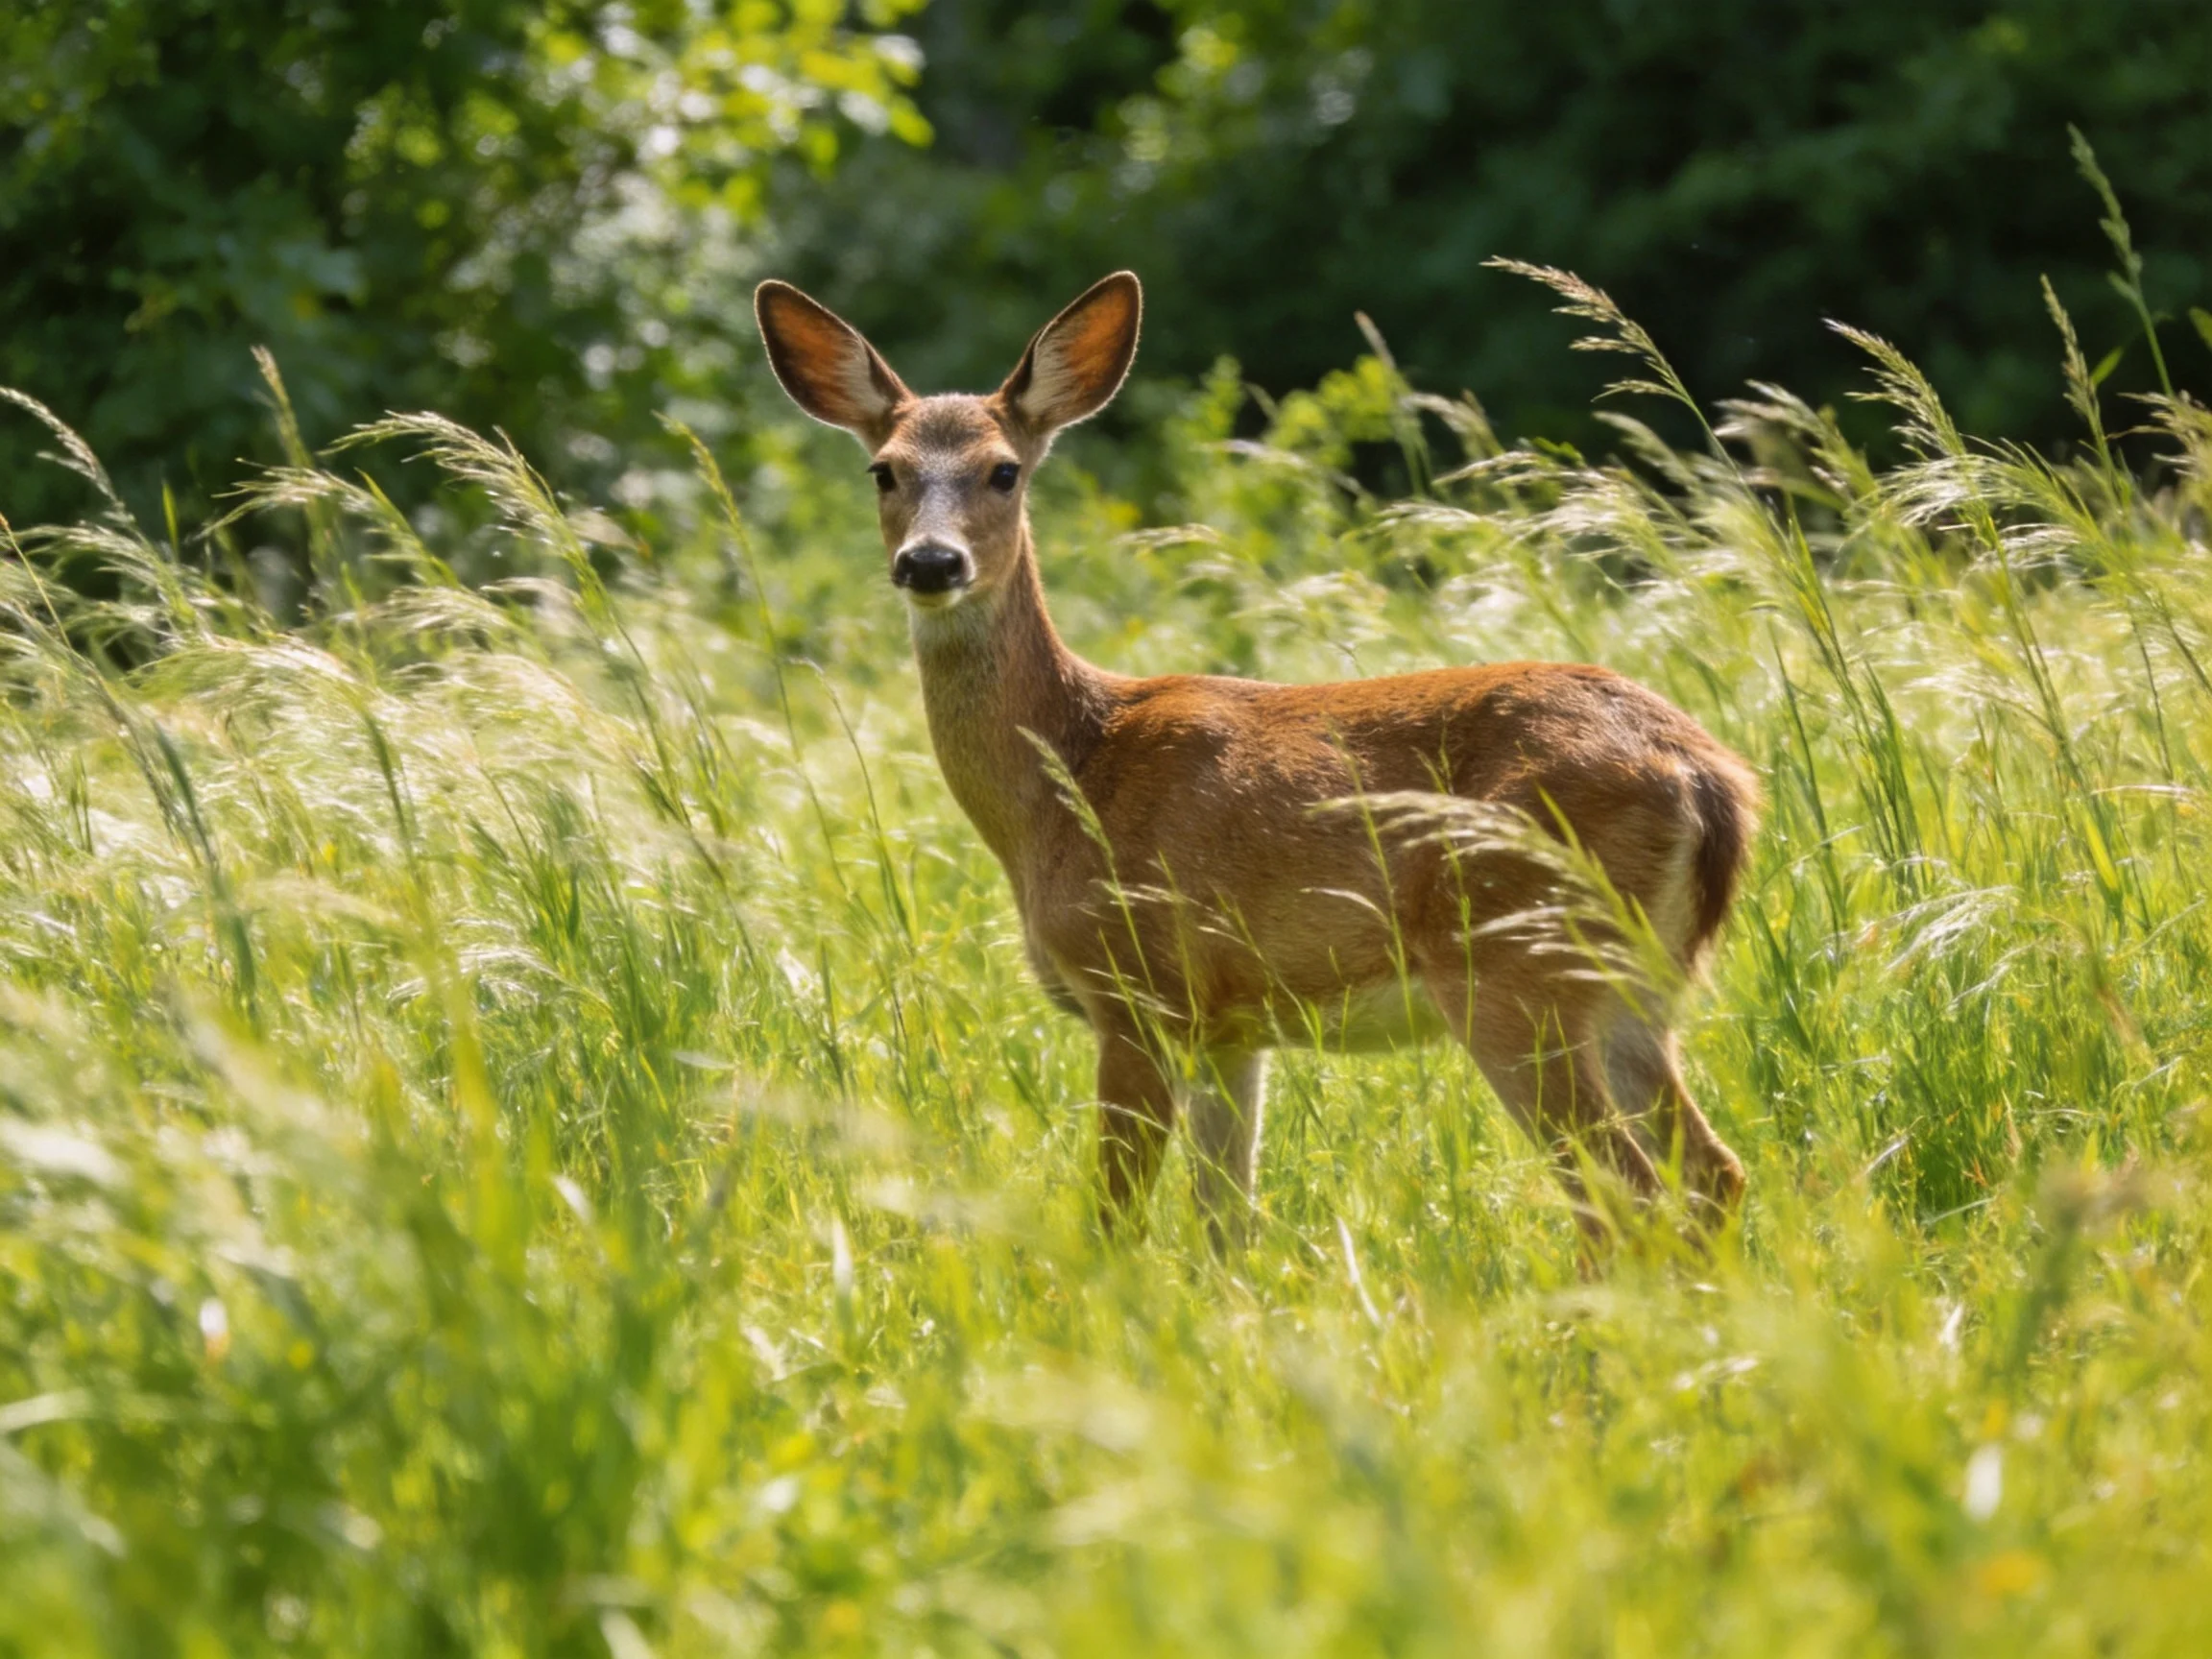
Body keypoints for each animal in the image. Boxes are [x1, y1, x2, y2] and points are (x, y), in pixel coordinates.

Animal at [754, 270, 1759, 1254]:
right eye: (883, 470)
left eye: (1003, 471)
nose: (931, 562)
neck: (1067, 780)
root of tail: (1708, 779)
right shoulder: (1231, 1031)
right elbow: (1226, 1229)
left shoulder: (1139, 992)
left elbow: (1114, 1223)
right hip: (1632, 988)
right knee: (1712, 1174)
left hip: (1516, 967)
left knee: (1624, 1198)